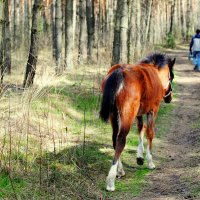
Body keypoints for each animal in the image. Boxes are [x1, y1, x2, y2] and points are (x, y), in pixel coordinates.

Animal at [99, 52, 175, 191]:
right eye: (171, 77)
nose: (169, 98)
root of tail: (119, 71)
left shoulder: (139, 113)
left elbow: (140, 128)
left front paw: (140, 156)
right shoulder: (153, 110)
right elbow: (150, 133)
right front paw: (150, 161)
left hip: (114, 115)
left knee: (114, 138)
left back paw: (120, 170)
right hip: (127, 113)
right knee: (121, 139)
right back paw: (111, 180)